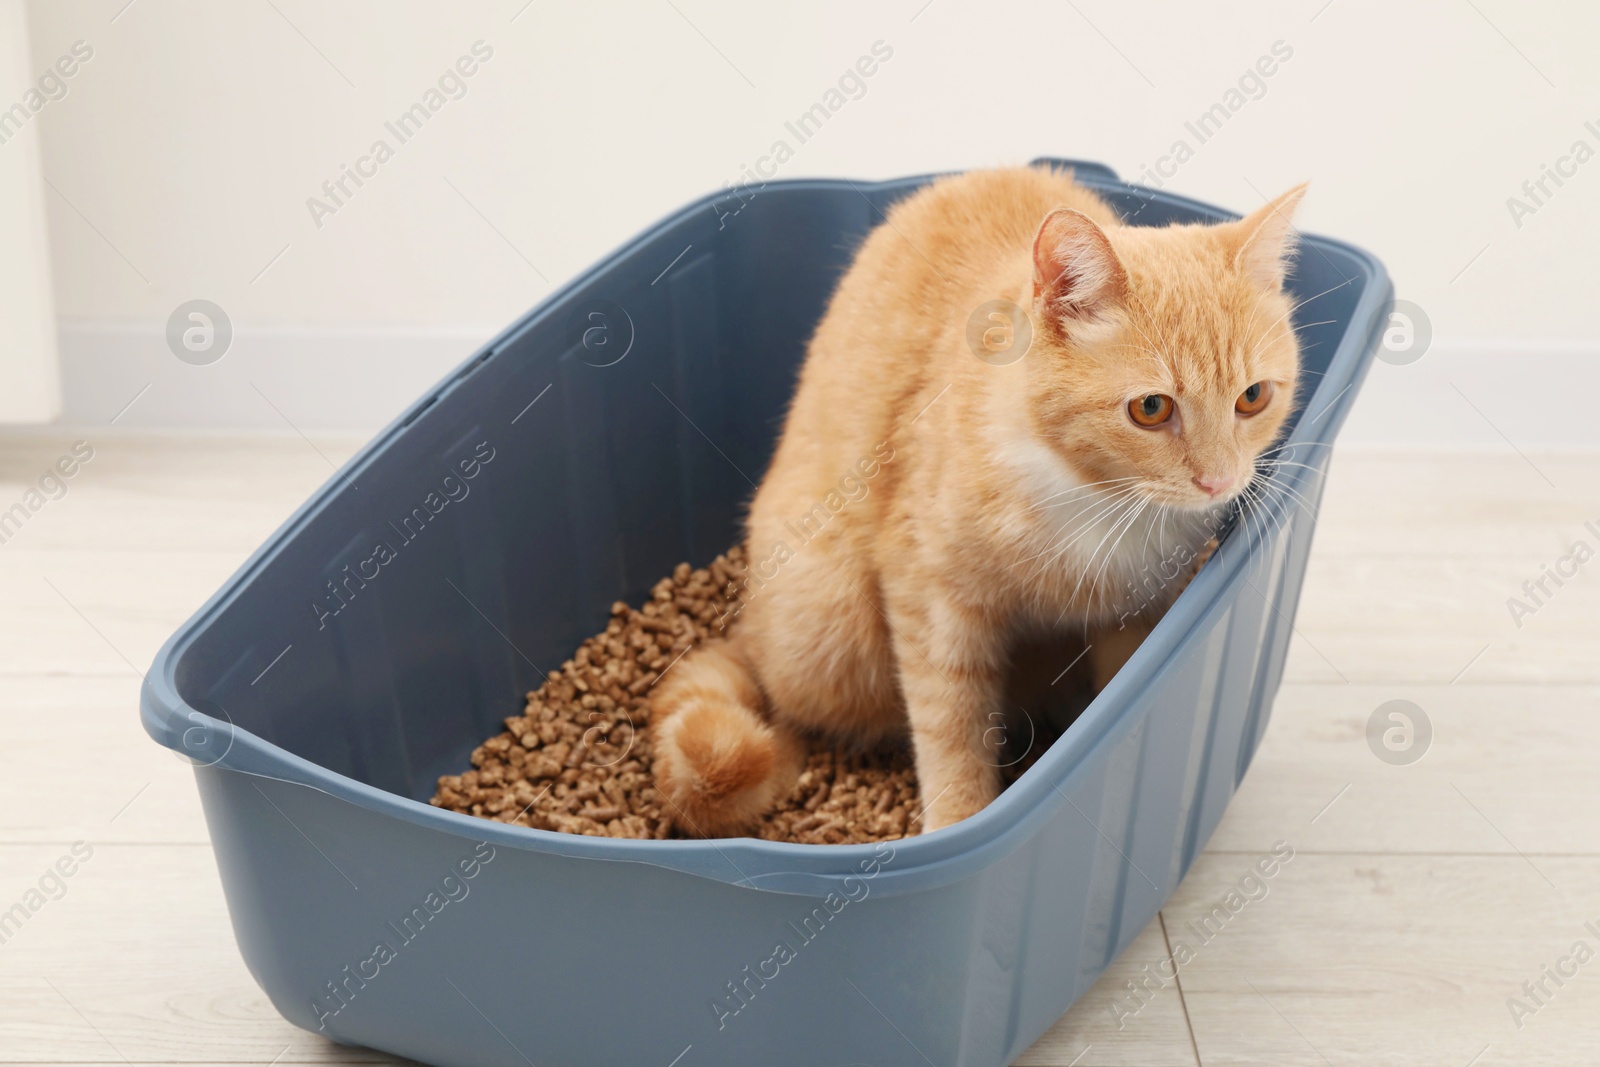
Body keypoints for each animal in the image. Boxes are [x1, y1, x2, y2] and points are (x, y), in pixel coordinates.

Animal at [652, 164, 1312, 831]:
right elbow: (951, 725)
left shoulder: (1139, 609)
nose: (1220, 481)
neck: (1094, 500)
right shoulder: (930, 597)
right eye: (1151, 408)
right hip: (827, 631)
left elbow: (1120, 694)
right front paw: (957, 819)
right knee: (794, 713)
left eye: (1253, 397)